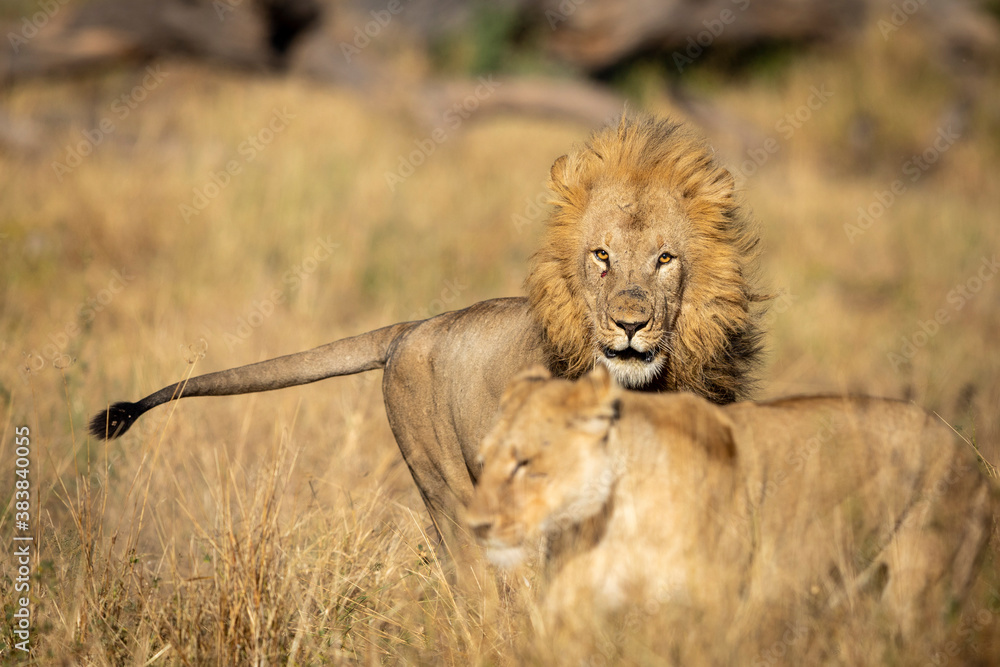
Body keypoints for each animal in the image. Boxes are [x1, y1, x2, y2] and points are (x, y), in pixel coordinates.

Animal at [466, 366, 994, 656]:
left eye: (524, 463)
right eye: (484, 461)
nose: (476, 525)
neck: (616, 519)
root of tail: (966, 448)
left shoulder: (714, 616)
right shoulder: (568, 616)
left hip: (920, 595)